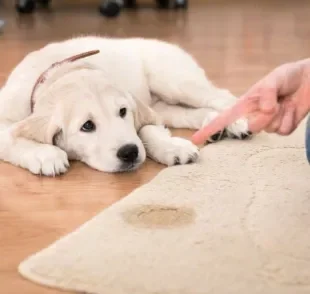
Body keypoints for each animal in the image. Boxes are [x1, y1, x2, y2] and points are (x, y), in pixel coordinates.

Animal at [0, 35, 249, 176]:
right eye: (87, 126)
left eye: (122, 112)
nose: (129, 152)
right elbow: (12, 138)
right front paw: (45, 154)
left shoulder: (142, 111)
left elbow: (147, 131)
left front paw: (172, 148)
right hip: (164, 105)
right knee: (186, 113)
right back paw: (214, 125)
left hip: (174, 81)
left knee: (221, 96)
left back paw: (235, 122)